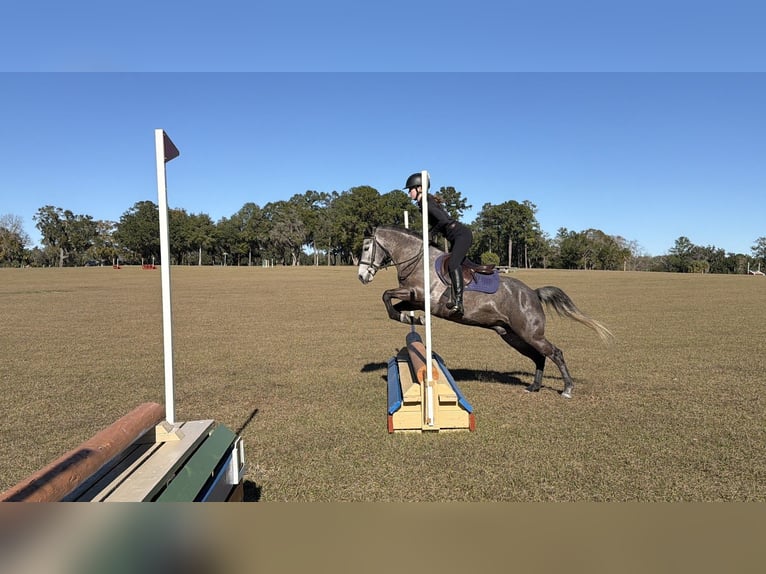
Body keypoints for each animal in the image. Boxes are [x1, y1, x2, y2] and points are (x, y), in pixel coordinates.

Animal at [357, 225, 613, 398]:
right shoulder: (415, 300)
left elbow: (386, 295)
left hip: (530, 333)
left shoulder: (418, 294)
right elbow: (392, 306)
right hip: (512, 335)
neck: (417, 260)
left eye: (367, 247)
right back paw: (534, 386)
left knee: (555, 353)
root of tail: (533, 293)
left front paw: (414, 319)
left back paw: (567, 388)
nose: (362, 276)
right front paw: (413, 320)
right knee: (539, 356)